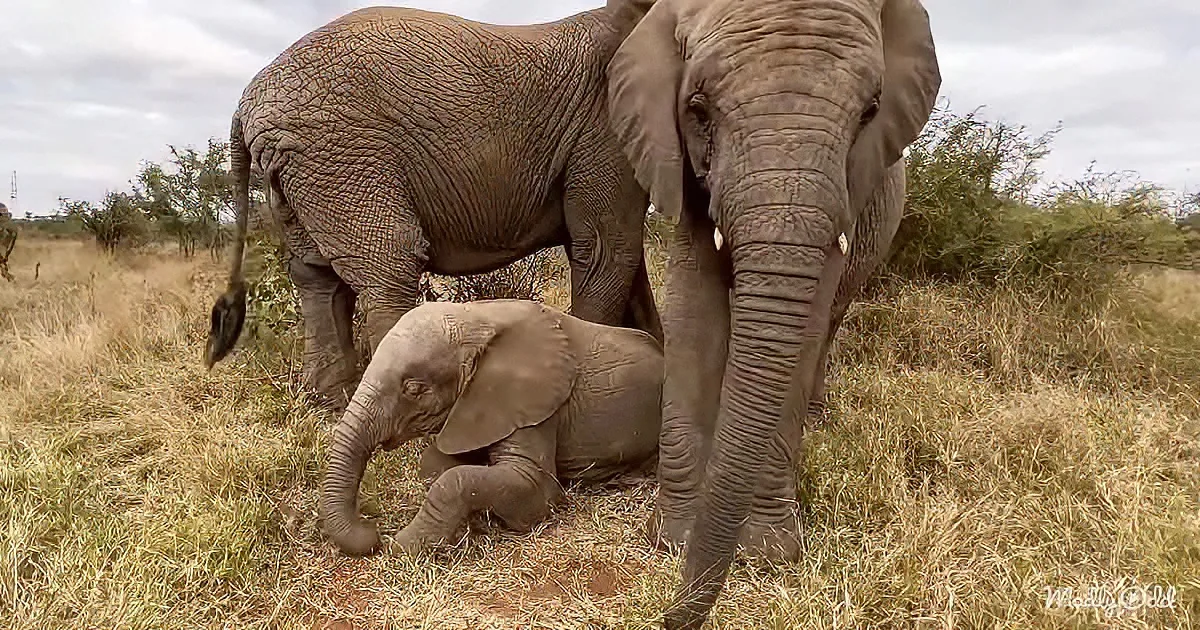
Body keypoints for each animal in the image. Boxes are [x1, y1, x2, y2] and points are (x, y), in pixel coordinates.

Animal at [203, 1, 663, 410]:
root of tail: (244, 105)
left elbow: (619, 257)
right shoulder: (604, 127)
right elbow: (607, 251)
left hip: (299, 164)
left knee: (316, 276)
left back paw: (329, 407)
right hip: (338, 153)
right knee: (389, 266)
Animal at [317, 299, 664, 557]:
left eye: (413, 389)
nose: (372, 532)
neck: (477, 317)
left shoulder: (532, 402)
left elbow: (533, 489)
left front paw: (402, 545)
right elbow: (435, 464)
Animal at [604, 0, 942, 626]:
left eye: (870, 112)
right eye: (698, 109)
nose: (666, 616)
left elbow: (803, 325)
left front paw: (765, 555)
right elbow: (694, 310)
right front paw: (673, 540)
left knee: (829, 325)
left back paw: (817, 413)